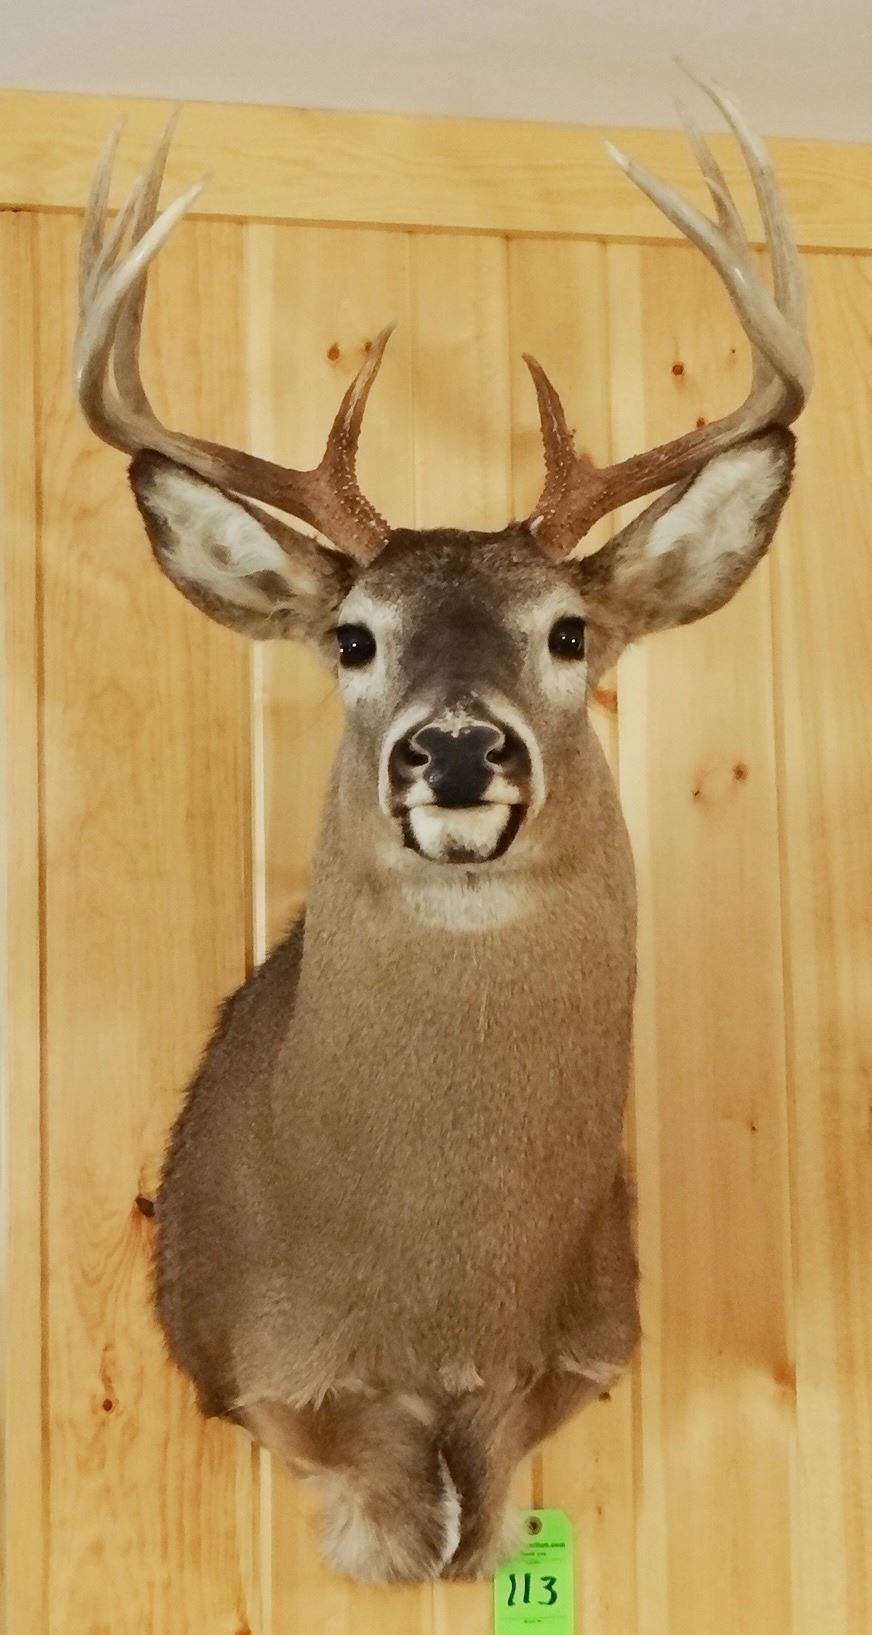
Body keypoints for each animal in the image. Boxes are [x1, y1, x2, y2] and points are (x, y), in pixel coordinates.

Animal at [73, 67, 810, 1584]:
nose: (459, 746)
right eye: (352, 636)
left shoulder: (568, 1371)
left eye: (571, 629)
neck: (442, 1307)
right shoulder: (276, 1378)